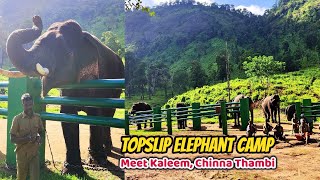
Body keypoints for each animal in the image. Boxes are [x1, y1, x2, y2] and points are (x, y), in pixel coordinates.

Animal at [1, 15, 124, 176]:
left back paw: (106, 152)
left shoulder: (97, 79)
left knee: (108, 114)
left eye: (60, 50)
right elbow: (67, 115)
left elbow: (96, 113)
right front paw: (72, 170)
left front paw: (97, 162)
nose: (36, 18)